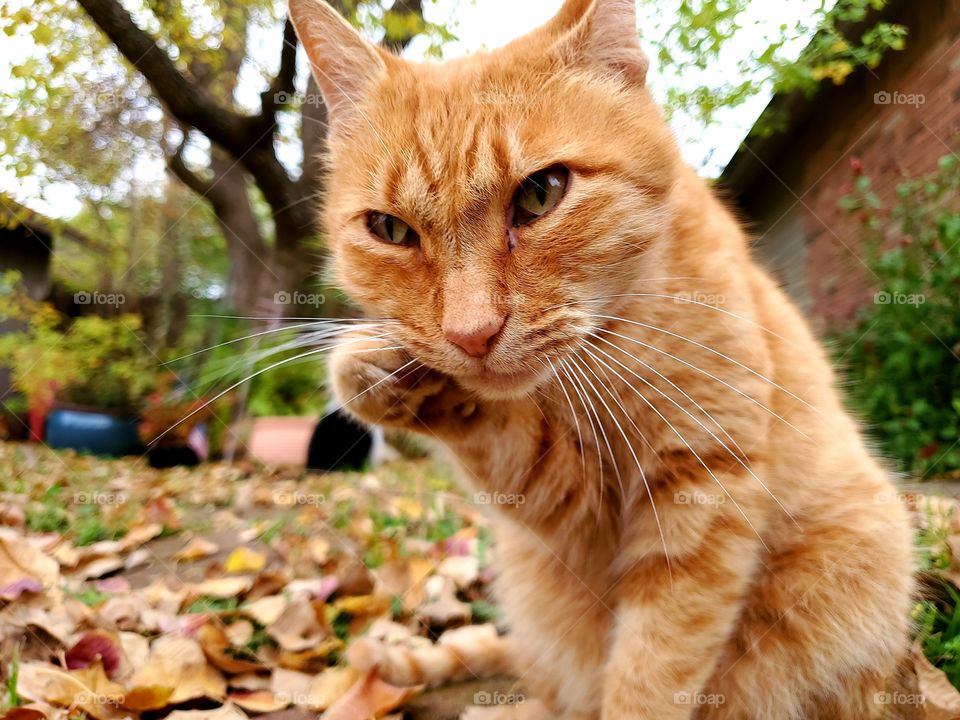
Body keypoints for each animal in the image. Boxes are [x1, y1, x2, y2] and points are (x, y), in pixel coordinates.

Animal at [286, 1, 916, 716]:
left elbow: (654, 669)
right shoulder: (568, 501)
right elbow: (502, 435)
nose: (471, 334)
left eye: (541, 193)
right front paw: (384, 375)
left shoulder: (700, 487)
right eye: (390, 230)